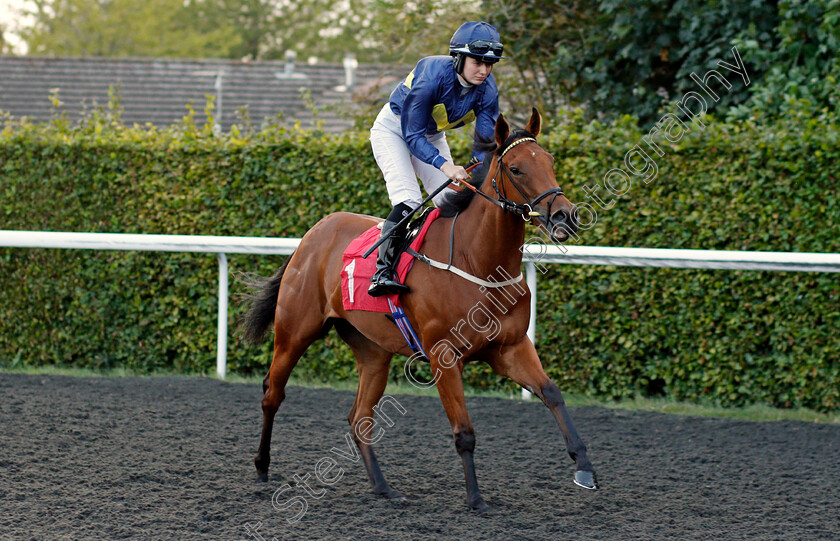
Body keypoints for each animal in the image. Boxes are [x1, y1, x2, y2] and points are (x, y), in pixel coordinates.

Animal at [240, 106, 600, 510]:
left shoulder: (510, 347)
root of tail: (312, 235)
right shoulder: (444, 355)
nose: (566, 216)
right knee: (272, 394)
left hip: (373, 351)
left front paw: (584, 468)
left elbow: (552, 393)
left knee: (359, 417)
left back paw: (384, 487)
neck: (477, 260)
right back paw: (261, 470)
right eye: (516, 168)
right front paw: (475, 498)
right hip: (294, 332)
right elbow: (464, 431)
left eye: (550, 161)